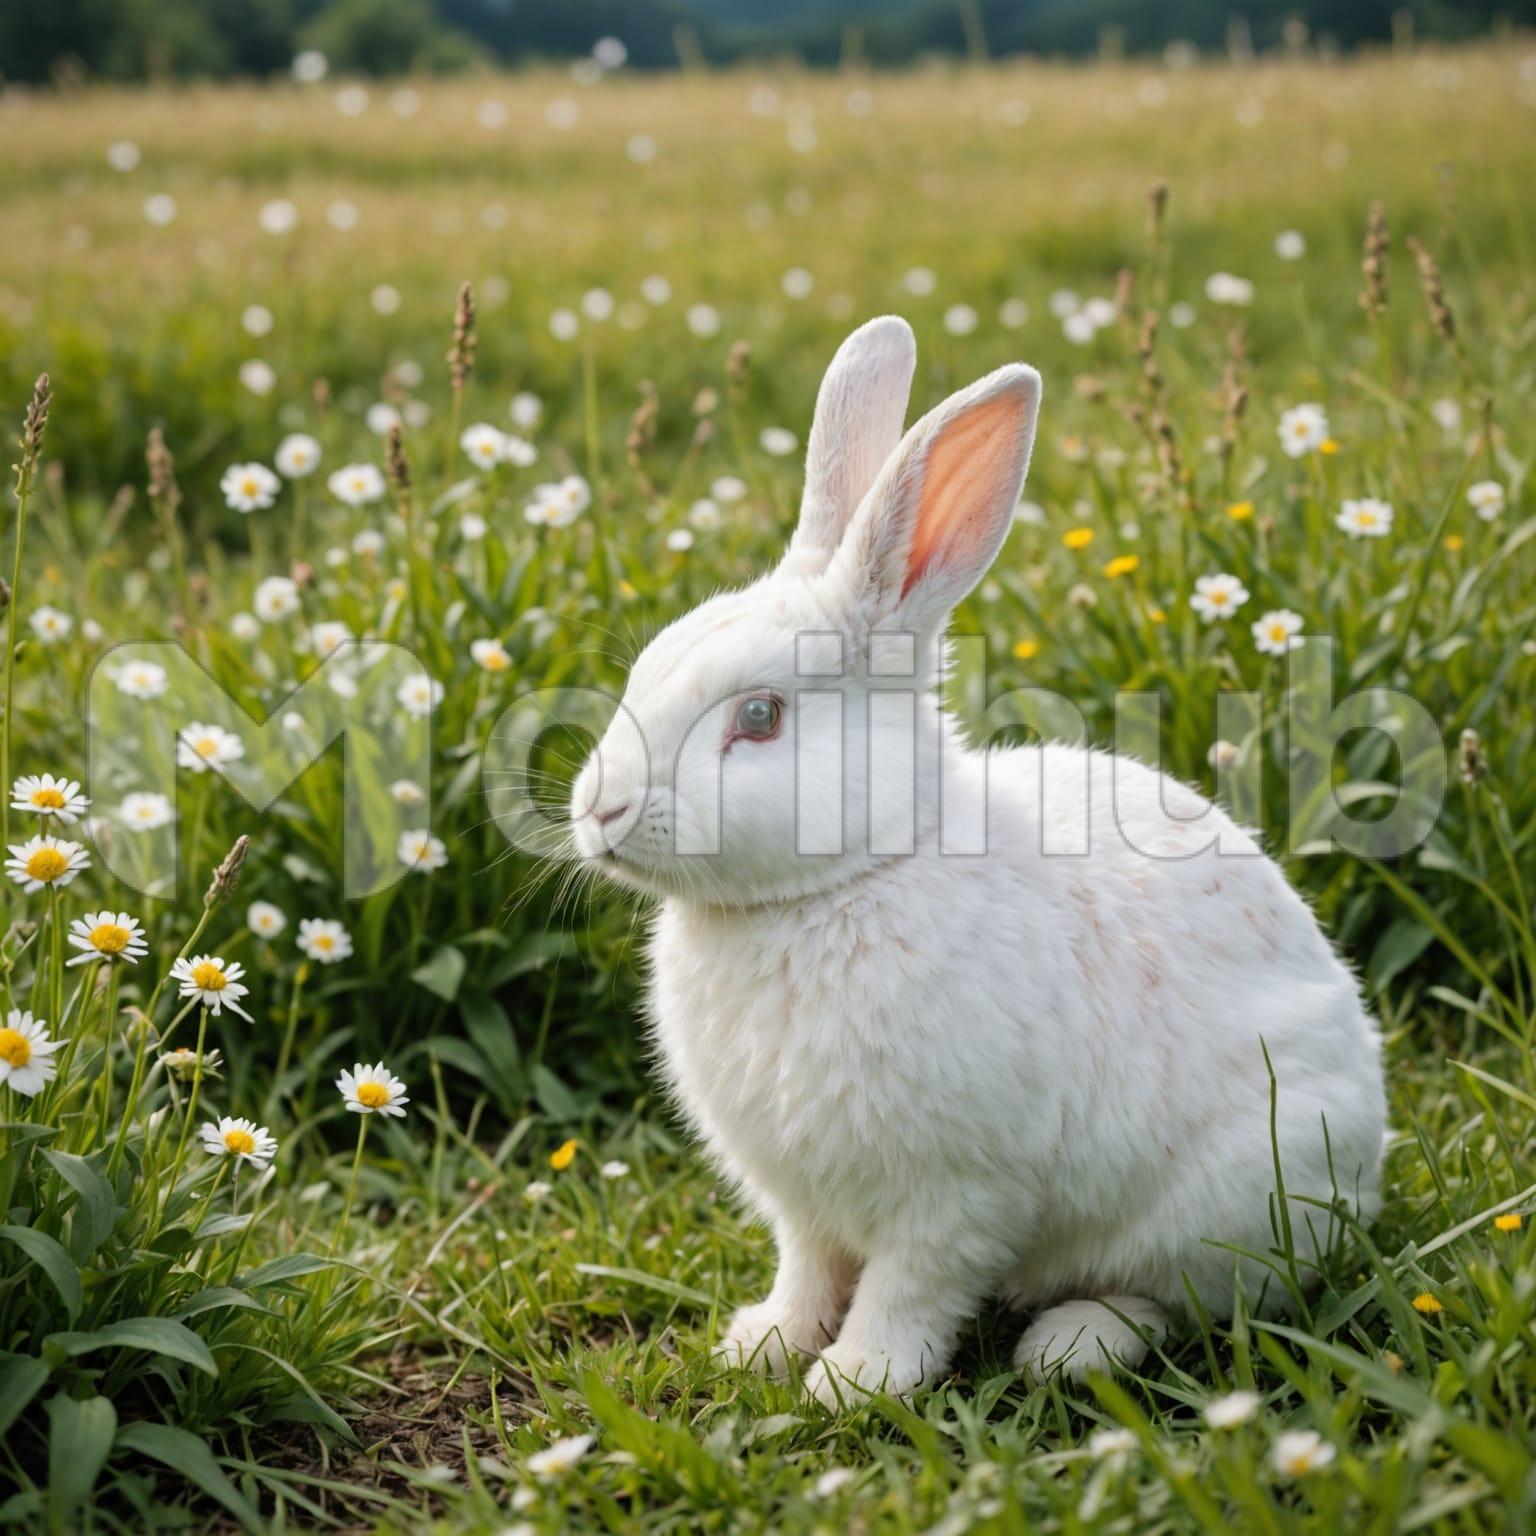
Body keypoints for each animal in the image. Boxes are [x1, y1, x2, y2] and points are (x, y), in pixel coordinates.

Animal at [569, 315, 1386, 1406]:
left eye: (761, 717)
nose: (598, 809)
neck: (845, 881)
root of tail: (1369, 1157)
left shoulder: (957, 1192)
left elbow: (911, 1290)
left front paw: (854, 1382)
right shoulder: (804, 1202)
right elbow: (807, 1268)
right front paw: (764, 1345)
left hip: (1233, 1200)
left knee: (1181, 1301)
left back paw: (1072, 1346)